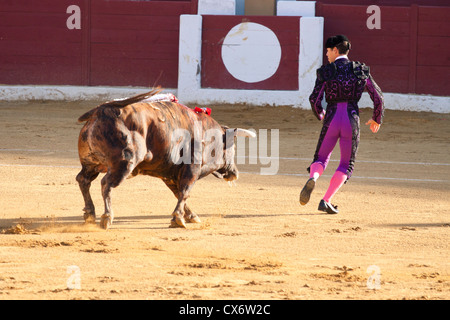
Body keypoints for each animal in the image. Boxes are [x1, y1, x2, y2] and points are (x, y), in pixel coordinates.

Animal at [75, 90, 255, 229]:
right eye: (232, 148)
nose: (234, 172)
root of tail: (102, 110)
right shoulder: (192, 169)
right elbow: (185, 191)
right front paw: (178, 219)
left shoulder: (168, 174)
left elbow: (178, 193)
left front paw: (190, 216)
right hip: (124, 164)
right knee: (106, 184)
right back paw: (106, 217)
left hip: (90, 164)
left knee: (83, 180)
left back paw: (90, 214)